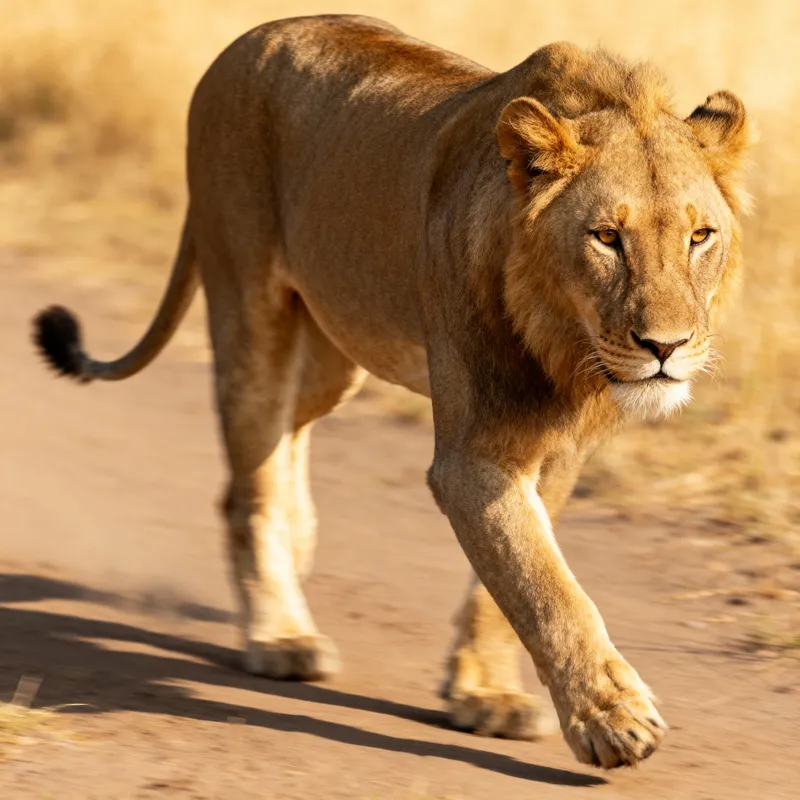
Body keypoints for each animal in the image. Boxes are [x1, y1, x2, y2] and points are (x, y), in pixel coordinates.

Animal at [32, 15, 751, 769]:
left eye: (701, 236)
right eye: (607, 237)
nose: (666, 347)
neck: (565, 342)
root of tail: (251, 36)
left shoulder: (558, 448)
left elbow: (510, 579)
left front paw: (485, 694)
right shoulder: (474, 456)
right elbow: (543, 584)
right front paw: (612, 718)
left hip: (337, 349)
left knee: (279, 444)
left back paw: (298, 544)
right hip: (249, 311)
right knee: (250, 482)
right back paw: (279, 635)